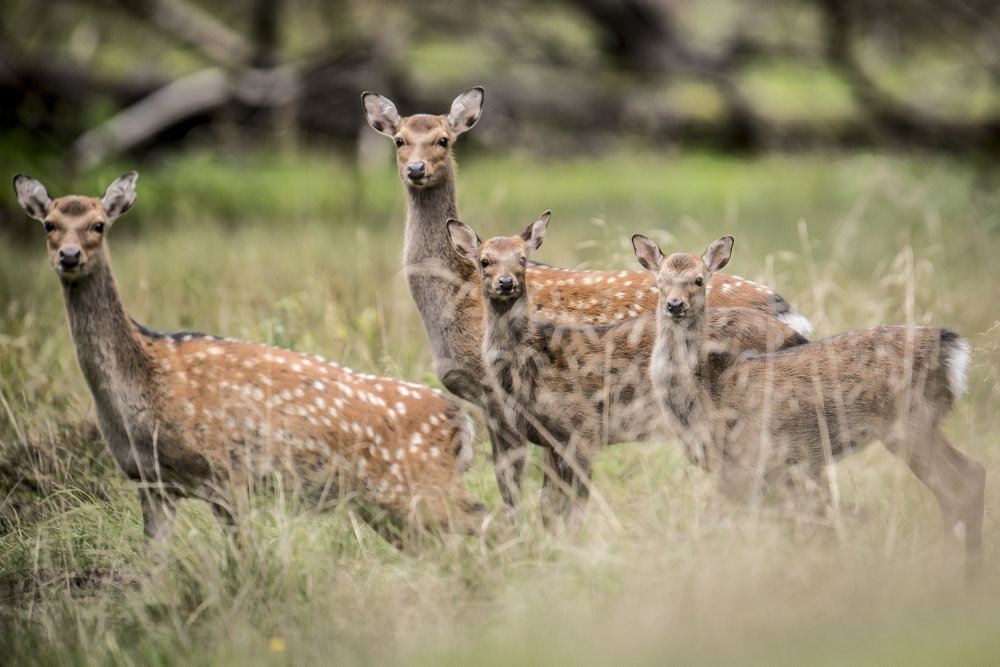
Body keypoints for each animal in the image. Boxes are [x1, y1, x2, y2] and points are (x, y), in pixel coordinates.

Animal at [12, 172, 484, 544]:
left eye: (98, 224)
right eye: (49, 224)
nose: (69, 256)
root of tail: (459, 421)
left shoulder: (227, 471)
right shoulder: (148, 482)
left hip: (418, 486)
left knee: (479, 519)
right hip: (385, 504)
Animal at [446, 214, 804, 520]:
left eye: (522, 259)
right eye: (484, 261)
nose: (506, 283)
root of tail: (796, 333)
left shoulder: (582, 428)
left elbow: (570, 509)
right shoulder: (550, 440)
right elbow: (549, 507)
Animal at [632, 232, 984, 568]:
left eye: (699, 280)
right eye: (660, 281)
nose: (675, 305)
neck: (705, 398)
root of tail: (952, 348)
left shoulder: (750, 459)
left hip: (909, 421)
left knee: (960, 484)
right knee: (970, 474)